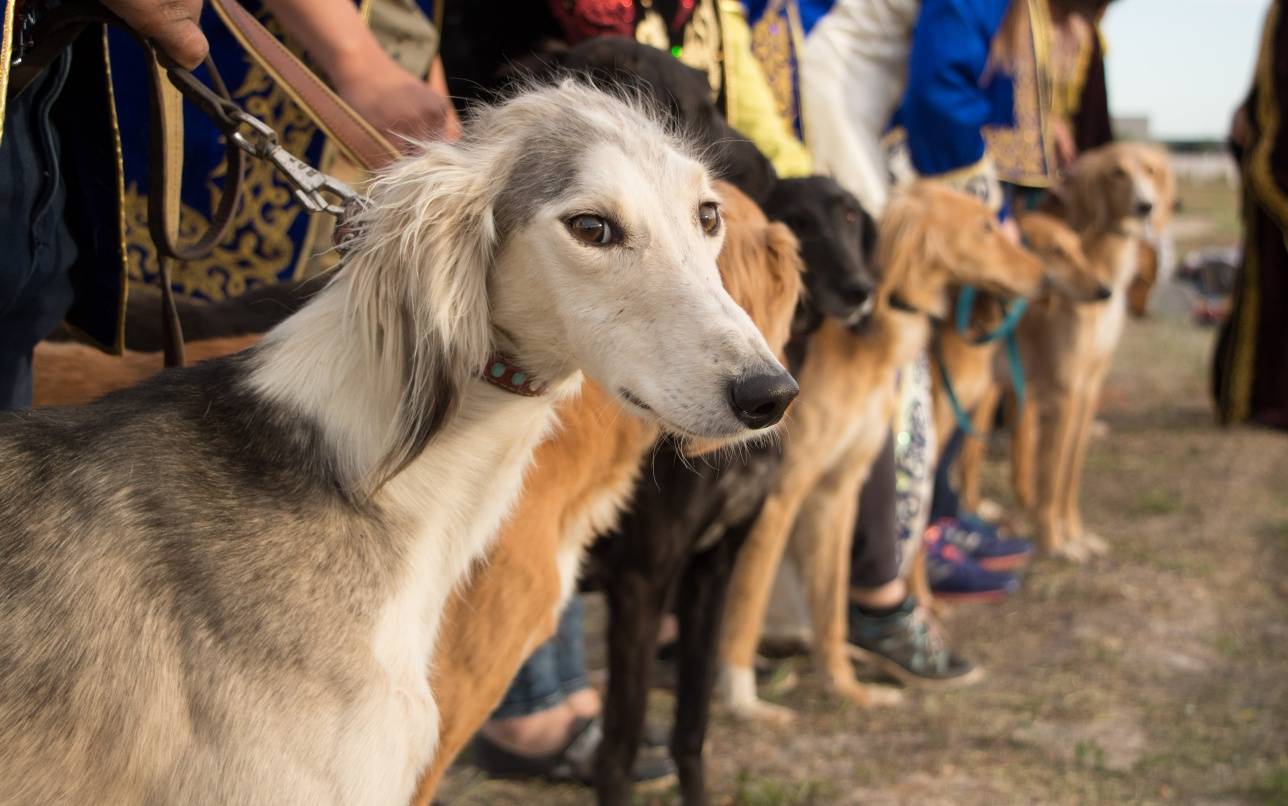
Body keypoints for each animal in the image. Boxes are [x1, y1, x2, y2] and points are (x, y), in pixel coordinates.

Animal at [710, 184, 1051, 721]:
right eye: (984, 227)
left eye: (852, 218)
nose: (1046, 278)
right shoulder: (778, 498)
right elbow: (748, 602)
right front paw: (743, 698)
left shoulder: (838, 490)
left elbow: (831, 606)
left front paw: (845, 687)